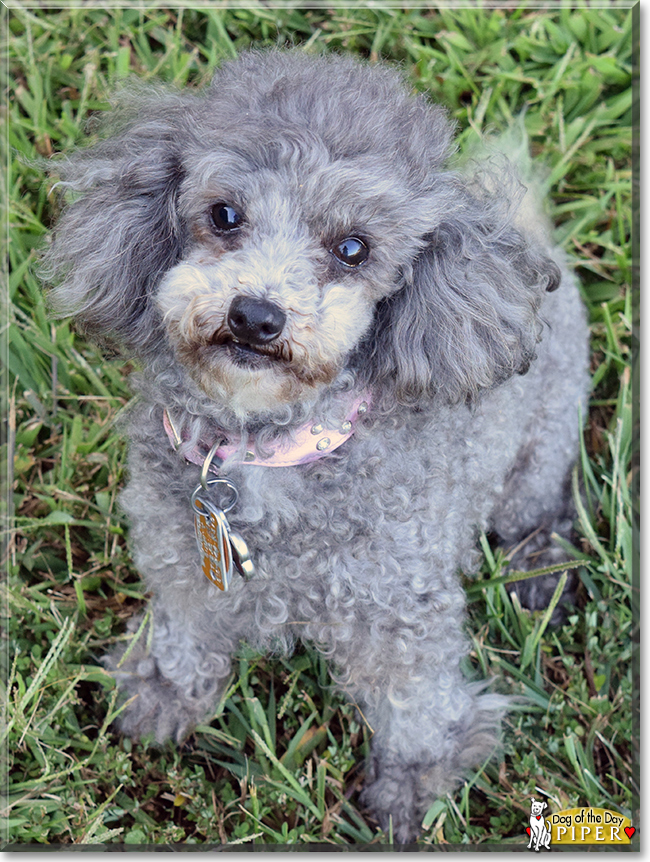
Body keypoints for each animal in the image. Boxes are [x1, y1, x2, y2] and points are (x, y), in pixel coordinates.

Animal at [41, 52, 588, 844]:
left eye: (353, 248)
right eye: (224, 215)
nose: (256, 316)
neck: (269, 451)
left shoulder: (401, 609)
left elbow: (415, 700)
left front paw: (417, 785)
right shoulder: (181, 557)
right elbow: (184, 628)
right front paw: (163, 694)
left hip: (543, 440)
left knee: (538, 507)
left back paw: (539, 571)